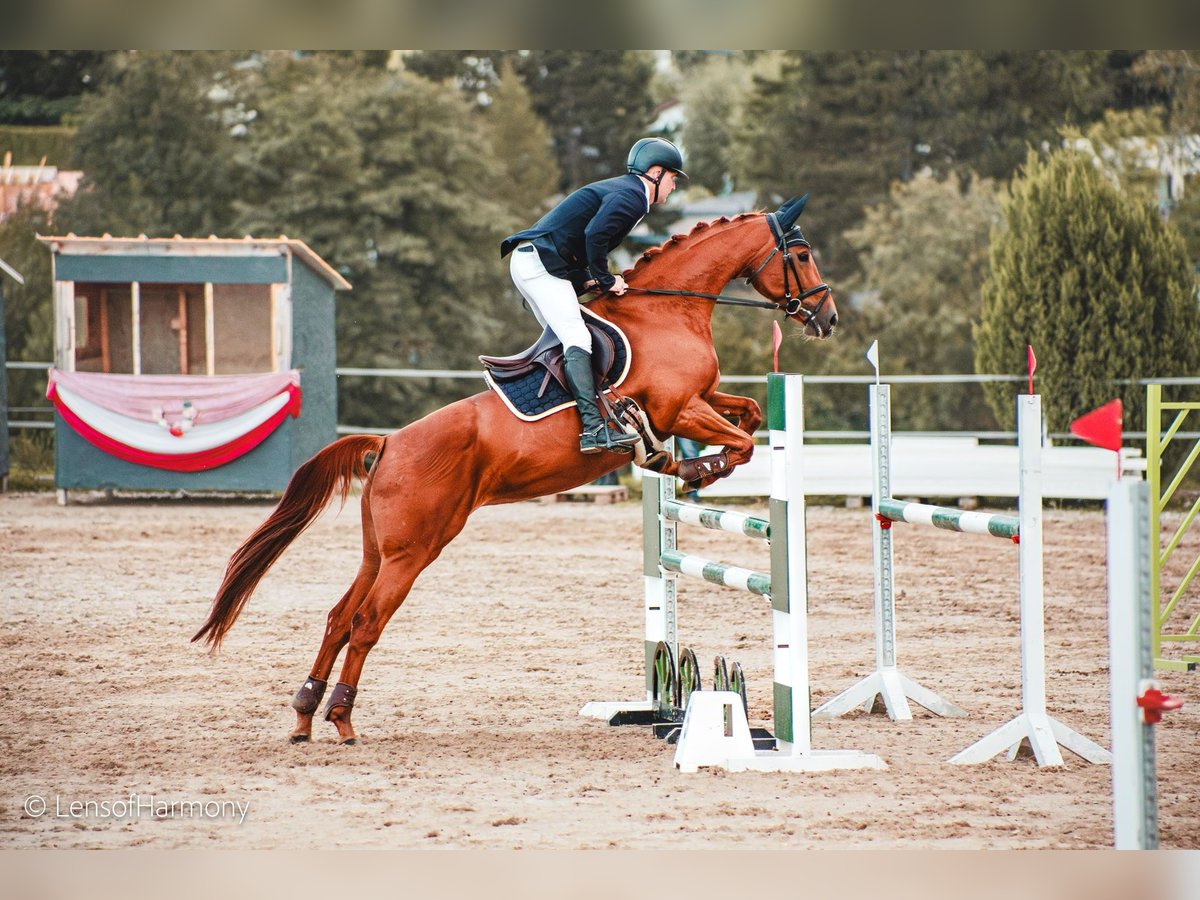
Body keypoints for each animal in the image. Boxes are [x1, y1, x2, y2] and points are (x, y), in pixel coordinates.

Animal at [192, 194, 840, 744]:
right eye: (802, 254)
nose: (827, 318)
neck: (669, 309)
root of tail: (391, 442)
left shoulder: (702, 400)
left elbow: (749, 413)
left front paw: (681, 463)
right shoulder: (681, 406)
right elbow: (743, 442)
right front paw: (698, 468)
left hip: (379, 550)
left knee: (337, 617)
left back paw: (305, 715)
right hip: (414, 550)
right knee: (367, 622)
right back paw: (343, 720)